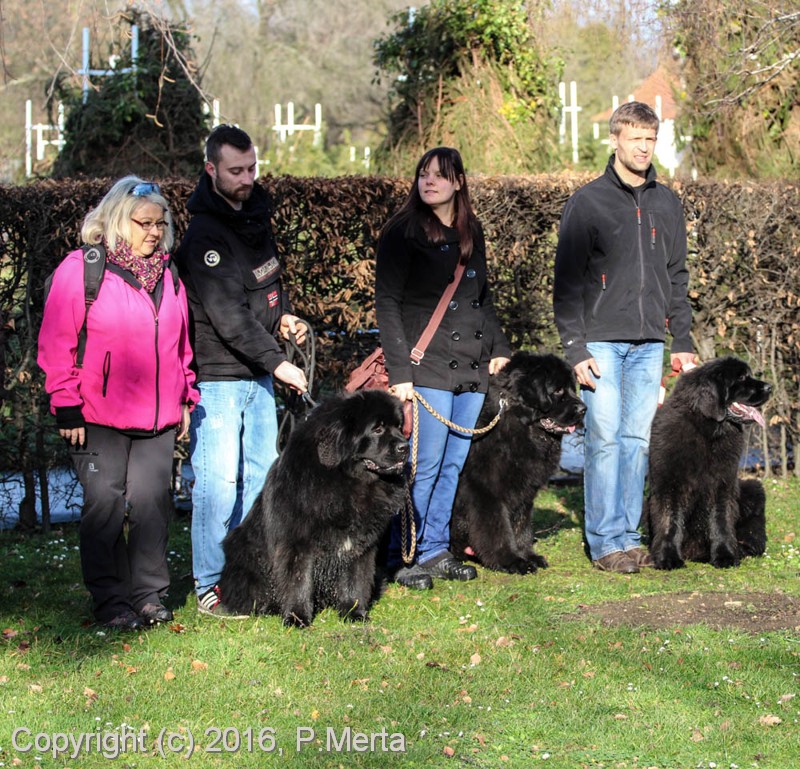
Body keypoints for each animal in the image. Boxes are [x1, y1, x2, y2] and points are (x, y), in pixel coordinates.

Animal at [219, 390, 409, 626]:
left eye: (399, 427)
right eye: (377, 429)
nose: (405, 447)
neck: (347, 480)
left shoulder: (360, 545)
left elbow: (355, 580)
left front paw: (354, 612)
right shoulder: (297, 543)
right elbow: (299, 581)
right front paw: (296, 618)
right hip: (243, 553)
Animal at [451, 352, 586, 573]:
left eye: (571, 388)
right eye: (558, 390)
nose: (584, 409)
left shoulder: (524, 490)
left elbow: (521, 525)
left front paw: (528, 555)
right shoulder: (485, 491)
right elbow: (497, 528)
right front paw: (511, 560)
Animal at [646, 356, 771, 569]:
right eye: (741, 377)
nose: (769, 387)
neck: (707, 430)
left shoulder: (722, 483)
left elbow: (720, 520)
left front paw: (725, 556)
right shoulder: (669, 483)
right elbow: (670, 520)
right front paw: (668, 557)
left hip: (754, 488)